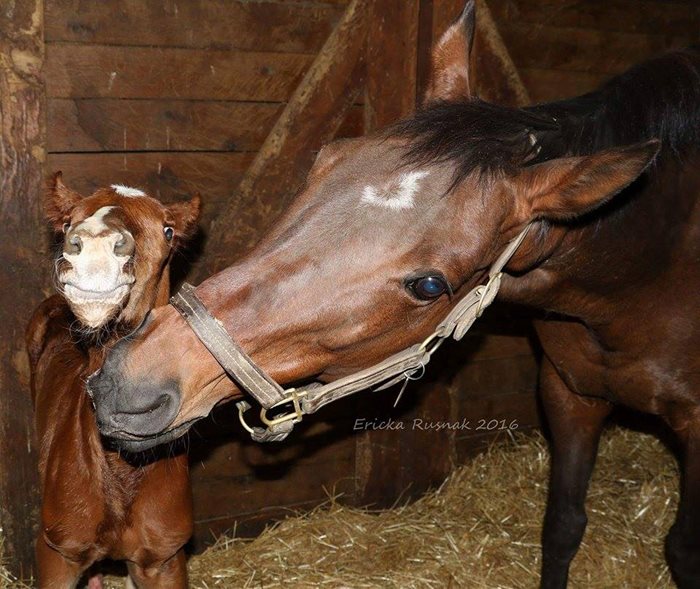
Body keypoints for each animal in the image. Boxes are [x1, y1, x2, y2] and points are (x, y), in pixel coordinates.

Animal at [26, 173, 200, 588]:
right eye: (68, 222)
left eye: (168, 230)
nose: (94, 247)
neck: (122, 474)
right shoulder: (56, 553)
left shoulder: (164, 559)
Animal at [87, 2, 700, 587]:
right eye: (325, 158)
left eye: (429, 286)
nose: (129, 381)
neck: (644, 270)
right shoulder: (568, 394)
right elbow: (563, 526)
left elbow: (679, 547)